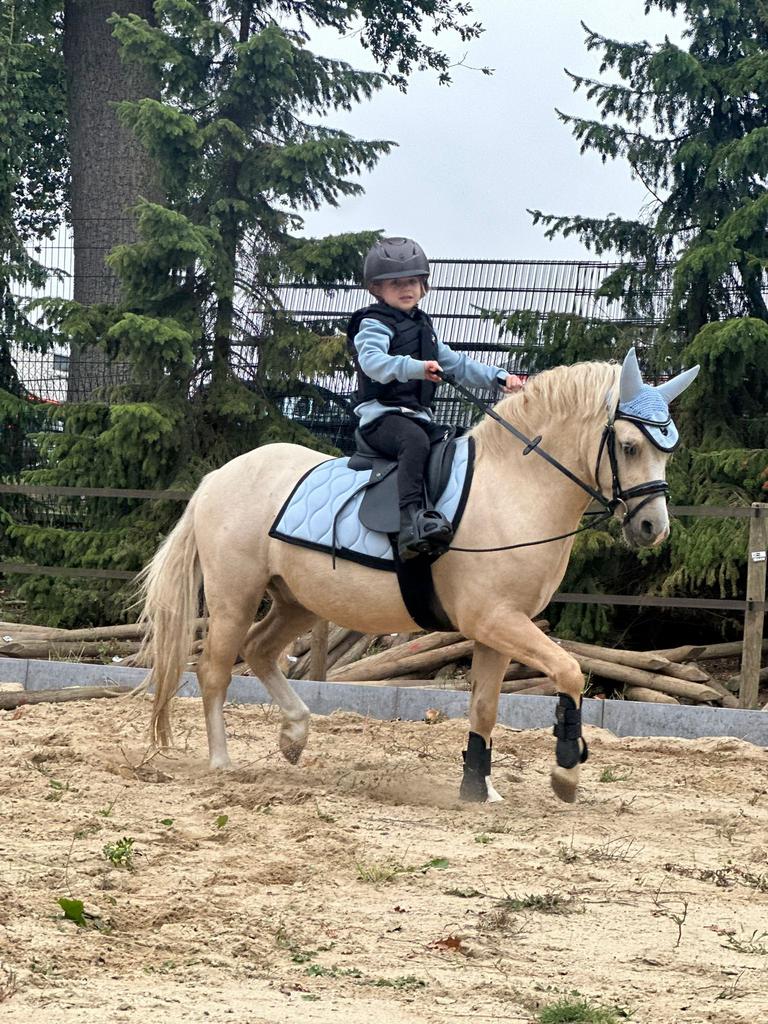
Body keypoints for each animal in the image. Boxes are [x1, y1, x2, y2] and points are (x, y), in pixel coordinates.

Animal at [135, 352, 697, 804]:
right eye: (629, 446)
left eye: (667, 449)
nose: (653, 528)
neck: (513, 487)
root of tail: (219, 476)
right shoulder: (496, 620)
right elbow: (569, 671)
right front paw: (565, 774)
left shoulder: (498, 629)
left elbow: (485, 707)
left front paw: (477, 788)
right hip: (235, 595)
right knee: (215, 669)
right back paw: (221, 762)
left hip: (296, 600)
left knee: (259, 651)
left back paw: (294, 736)